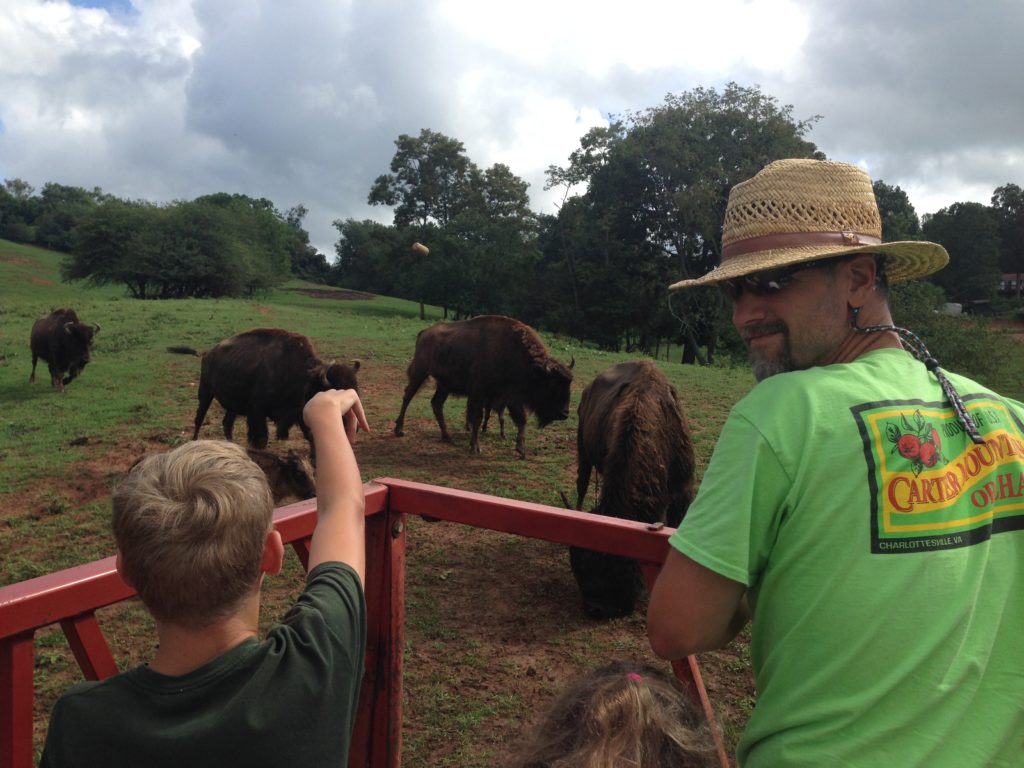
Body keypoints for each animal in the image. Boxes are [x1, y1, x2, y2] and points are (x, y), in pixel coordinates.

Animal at [179, 329, 360, 456]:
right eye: (335, 394)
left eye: (356, 391)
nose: (355, 427)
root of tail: (207, 354)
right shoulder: (257, 411)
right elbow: (261, 439)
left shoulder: (299, 413)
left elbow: (311, 436)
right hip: (205, 393)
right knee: (199, 418)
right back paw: (194, 442)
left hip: (233, 406)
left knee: (227, 424)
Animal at [391, 315, 573, 460]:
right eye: (553, 385)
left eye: (568, 385)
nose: (564, 414)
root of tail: (424, 332)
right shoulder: (479, 393)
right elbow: (477, 419)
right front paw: (476, 447)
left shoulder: (510, 398)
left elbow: (521, 419)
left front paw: (521, 451)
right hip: (420, 373)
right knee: (408, 396)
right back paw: (399, 430)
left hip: (444, 384)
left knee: (436, 404)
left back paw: (447, 436)